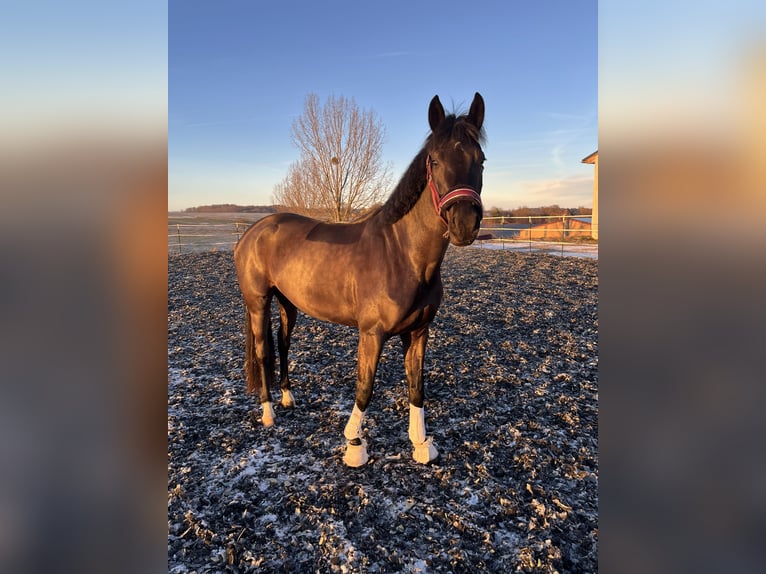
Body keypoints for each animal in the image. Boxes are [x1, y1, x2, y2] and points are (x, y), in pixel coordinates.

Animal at [234, 92, 486, 466]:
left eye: (480, 160)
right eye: (435, 161)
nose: (464, 225)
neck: (401, 254)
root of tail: (253, 231)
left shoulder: (418, 332)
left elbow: (417, 386)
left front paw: (421, 444)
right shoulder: (372, 333)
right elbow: (365, 387)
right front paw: (354, 443)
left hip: (288, 303)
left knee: (284, 342)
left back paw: (288, 399)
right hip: (258, 302)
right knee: (264, 349)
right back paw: (268, 413)